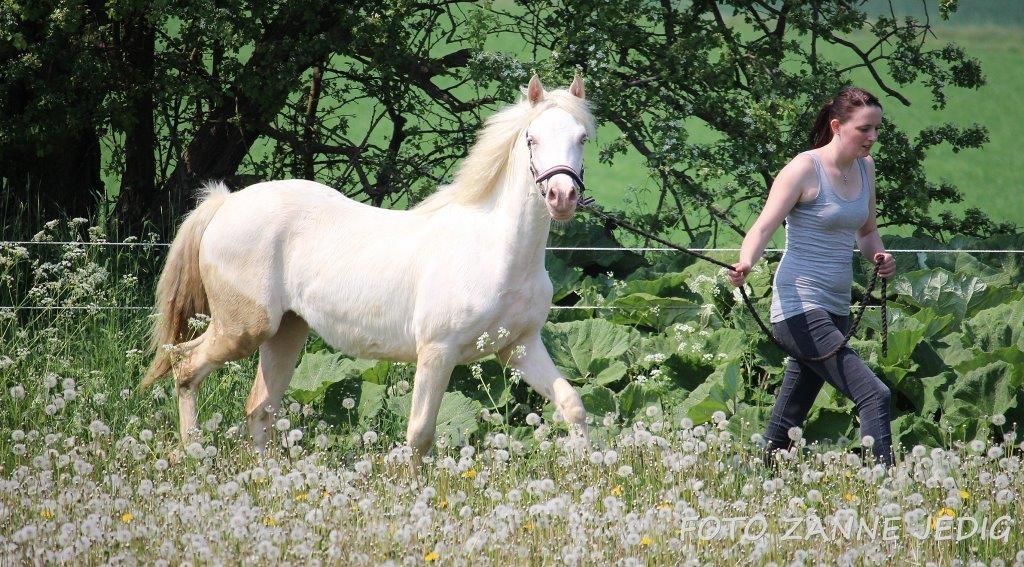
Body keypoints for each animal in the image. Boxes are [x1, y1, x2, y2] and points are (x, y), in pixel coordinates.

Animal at [141, 75, 598, 458]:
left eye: (582, 138)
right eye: (531, 139)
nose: (561, 197)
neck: (497, 251)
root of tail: (224, 203)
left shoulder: (519, 348)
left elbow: (572, 405)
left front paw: (583, 468)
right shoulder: (438, 352)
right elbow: (419, 433)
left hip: (286, 331)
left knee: (259, 407)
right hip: (243, 329)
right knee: (185, 367)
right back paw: (194, 453)